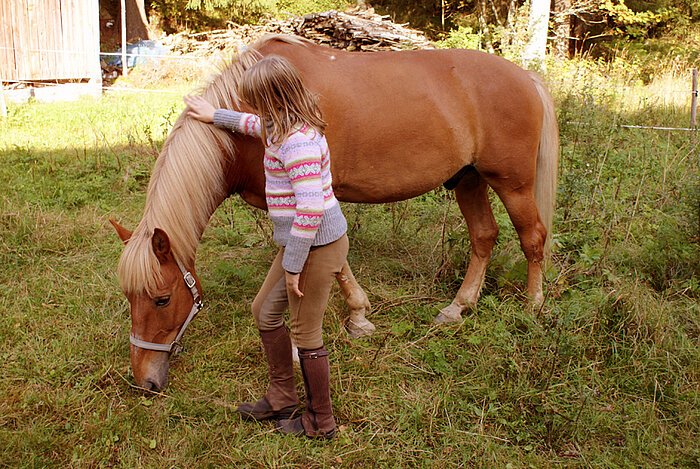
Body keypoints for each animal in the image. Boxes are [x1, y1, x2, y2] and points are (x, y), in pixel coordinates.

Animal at [110, 34, 556, 390]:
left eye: (162, 299)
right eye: (129, 297)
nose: (144, 380)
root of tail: (526, 76)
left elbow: (321, 263)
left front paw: (341, 325)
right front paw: (357, 316)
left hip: (512, 184)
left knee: (532, 236)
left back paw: (533, 307)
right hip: (468, 179)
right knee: (484, 236)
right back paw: (458, 308)